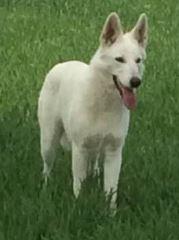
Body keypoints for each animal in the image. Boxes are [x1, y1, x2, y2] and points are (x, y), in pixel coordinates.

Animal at [37, 12, 148, 209]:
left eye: (138, 61)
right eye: (120, 59)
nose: (136, 82)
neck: (104, 105)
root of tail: (60, 65)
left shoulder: (114, 152)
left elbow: (111, 190)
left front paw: (111, 213)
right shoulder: (79, 149)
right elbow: (78, 186)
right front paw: (78, 207)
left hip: (96, 147)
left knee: (95, 162)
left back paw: (94, 175)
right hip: (48, 141)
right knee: (47, 166)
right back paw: (46, 186)